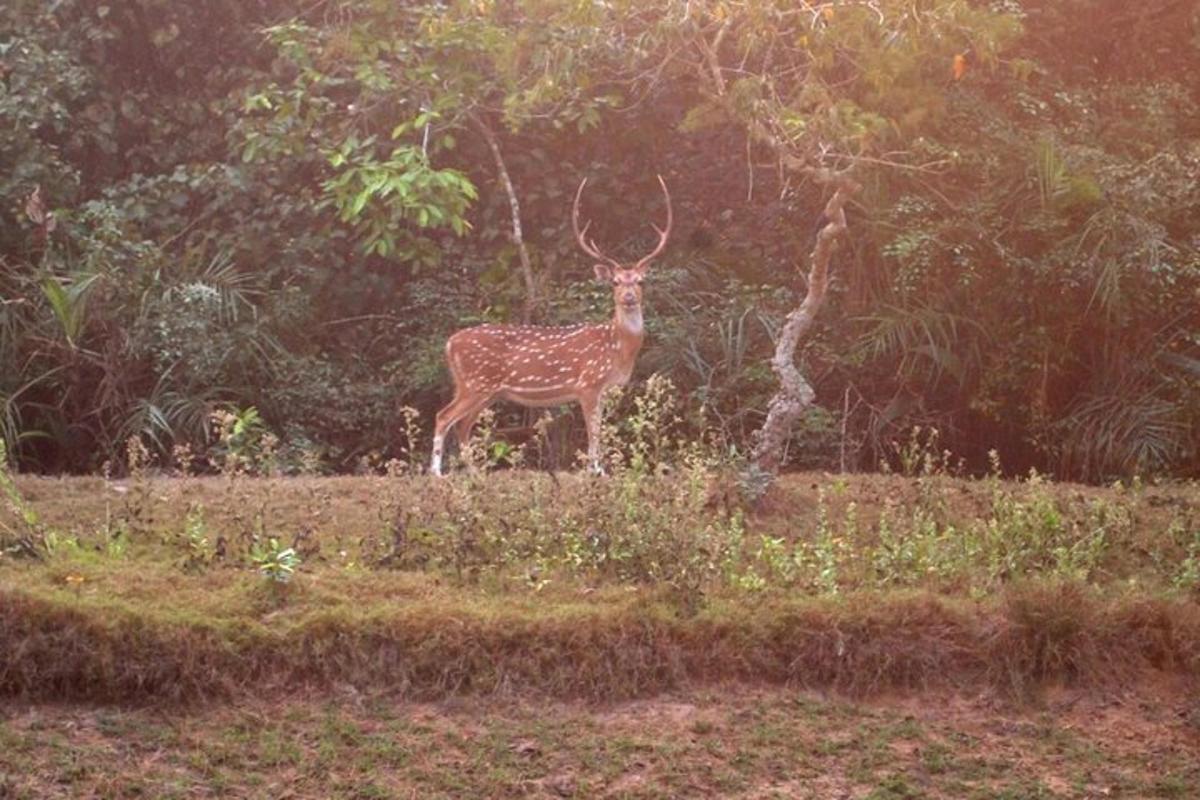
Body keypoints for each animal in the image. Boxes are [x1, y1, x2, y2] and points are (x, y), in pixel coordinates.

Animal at [432, 175, 676, 474]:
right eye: (615, 282)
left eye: (640, 281)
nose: (628, 297)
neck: (618, 350)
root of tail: (449, 343)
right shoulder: (587, 383)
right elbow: (593, 431)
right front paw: (594, 471)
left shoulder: (605, 389)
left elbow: (600, 428)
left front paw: (601, 470)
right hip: (475, 383)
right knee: (443, 416)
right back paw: (436, 473)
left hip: (486, 390)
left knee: (463, 425)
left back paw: (475, 472)